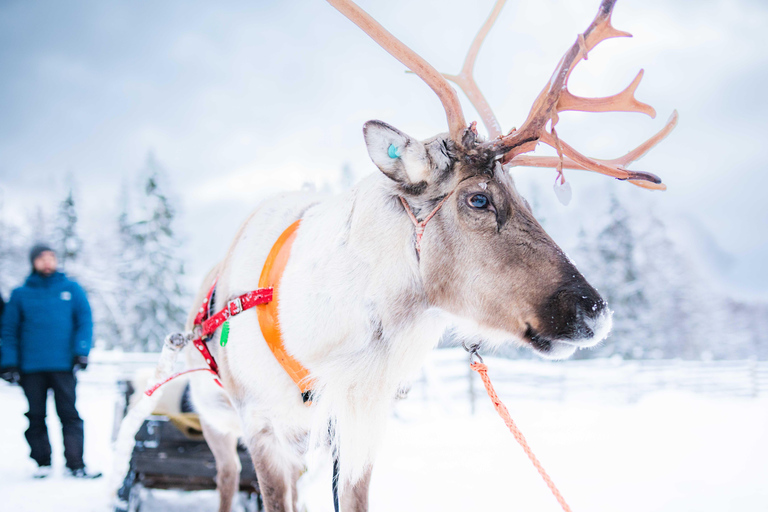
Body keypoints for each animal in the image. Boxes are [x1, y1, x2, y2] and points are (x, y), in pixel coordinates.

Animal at [175, 1, 677, 511]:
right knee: (227, 476)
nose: (596, 312)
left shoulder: (357, 428)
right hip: (217, 424)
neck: (325, 345)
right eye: (479, 199)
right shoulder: (262, 428)